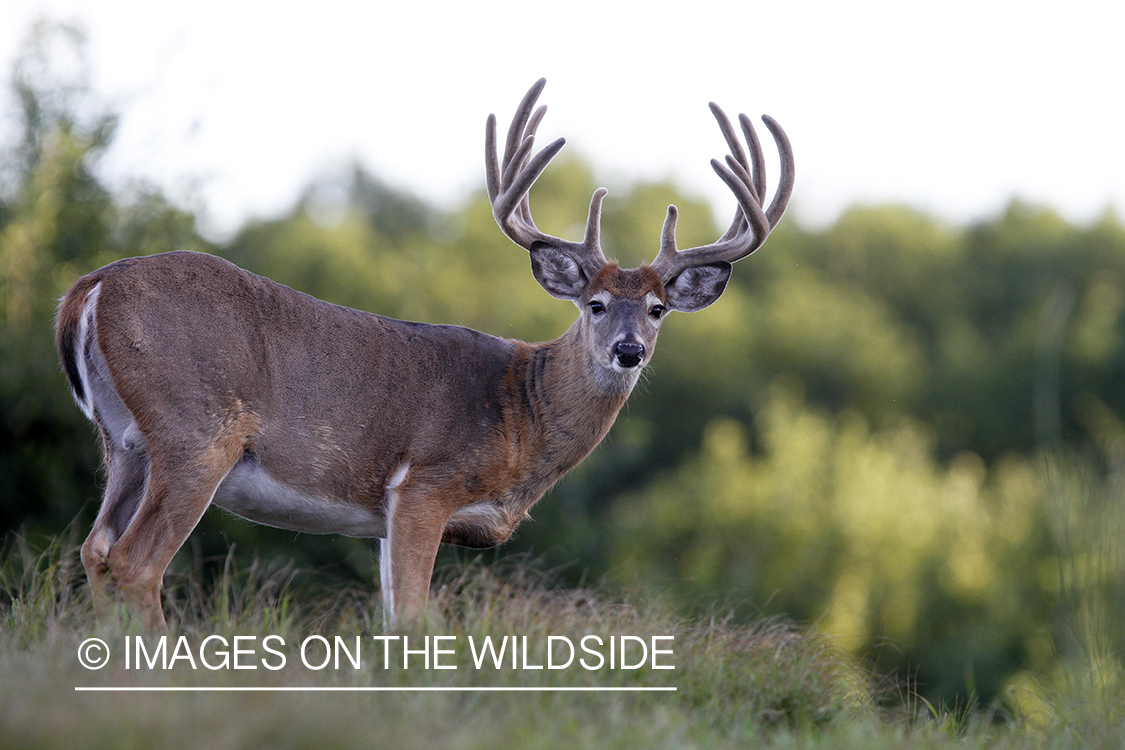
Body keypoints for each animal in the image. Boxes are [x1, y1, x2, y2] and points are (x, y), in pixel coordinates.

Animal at [57, 79, 796, 629]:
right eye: (593, 302)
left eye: (657, 309)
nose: (628, 350)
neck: (521, 412)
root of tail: (90, 288)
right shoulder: (424, 486)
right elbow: (413, 617)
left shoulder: (384, 516)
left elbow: (391, 616)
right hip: (197, 427)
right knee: (135, 562)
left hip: (123, 442)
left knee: (96, 550)